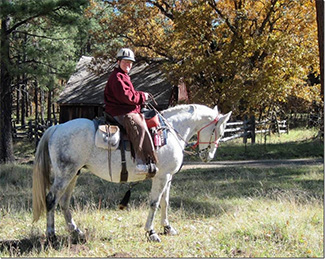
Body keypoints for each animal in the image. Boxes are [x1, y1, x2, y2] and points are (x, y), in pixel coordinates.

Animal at [32, 103, 230, 244]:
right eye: (219, 132)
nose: (208, 156)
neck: (171, 130)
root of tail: (57, 128)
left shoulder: (168, 177)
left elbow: (165, 202)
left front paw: (167, 228)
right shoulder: (161, 177)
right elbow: (154, 203)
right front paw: (151, 232)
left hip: (74, 174)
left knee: (64, 202)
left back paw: (77, 232)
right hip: (65, 174)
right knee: (51, 199)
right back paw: (51, 236)